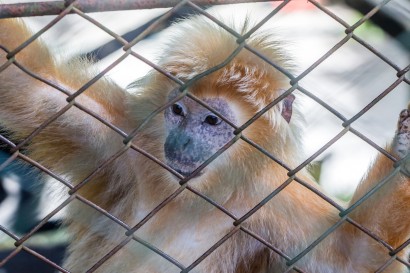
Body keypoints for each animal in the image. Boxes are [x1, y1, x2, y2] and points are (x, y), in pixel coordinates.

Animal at [0, 14, 408, 272]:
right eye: (179, 111)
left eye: (211, 121)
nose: (182, 141)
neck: (190, 192)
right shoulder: (117, 138)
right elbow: (28, 86)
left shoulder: (270, 197)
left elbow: (354, 257)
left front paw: (405, 152)